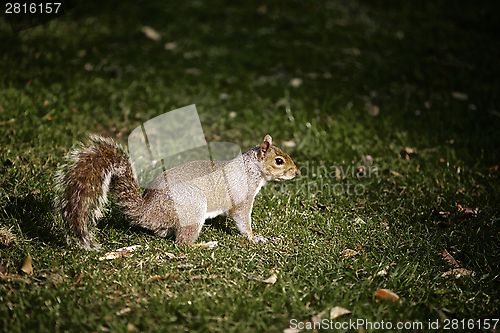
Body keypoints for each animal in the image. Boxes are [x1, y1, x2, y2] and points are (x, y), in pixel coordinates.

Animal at [53, 134, 300, 248]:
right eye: (278, 161)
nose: (296, 172)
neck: (251, 169)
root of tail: (147, 211)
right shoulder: (241, 196)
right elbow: (241, 219)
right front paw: (254, 237)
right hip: (193, 204)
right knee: (182, 244)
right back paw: (203, 245)